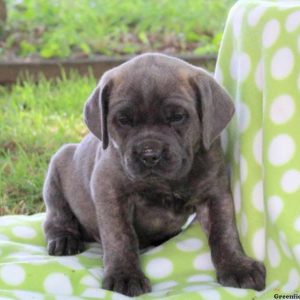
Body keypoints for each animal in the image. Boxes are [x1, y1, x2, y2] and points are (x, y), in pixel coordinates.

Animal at [43, 53, 266, 296]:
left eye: (177, 117)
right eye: (124, 120)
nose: (149, 155)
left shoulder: (215, 194)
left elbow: (224, 233)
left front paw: (237, 266)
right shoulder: (110, 191)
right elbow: (120, 236)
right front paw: (124, 275)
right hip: (56, 171)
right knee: (56, 217)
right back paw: (64, 240)